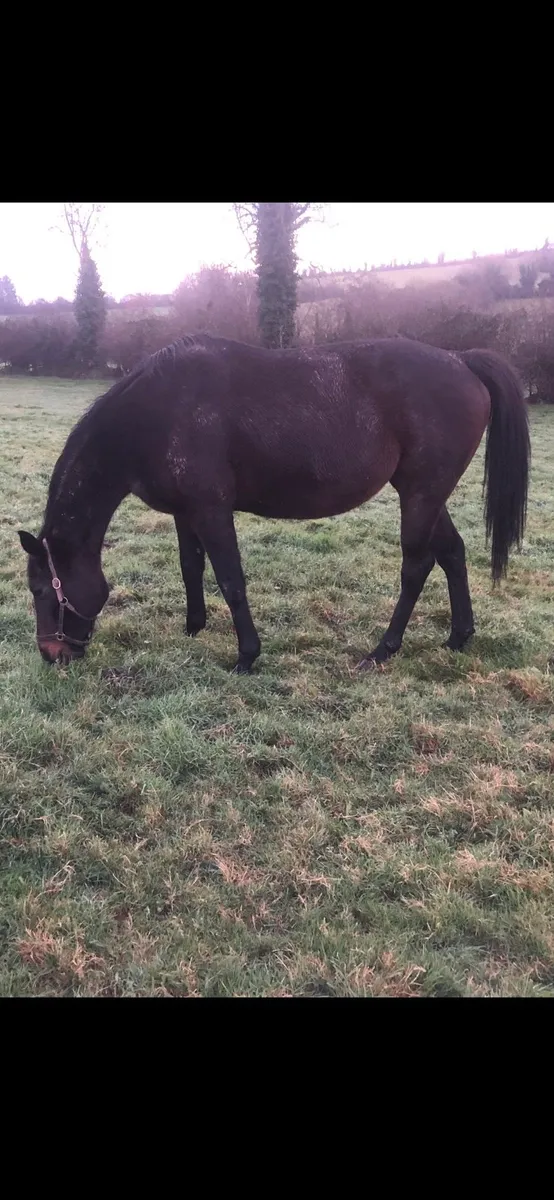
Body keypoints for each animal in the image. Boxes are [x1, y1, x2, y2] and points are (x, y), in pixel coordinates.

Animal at [18, 334, 530, 673]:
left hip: (421, 495)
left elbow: (231, 579)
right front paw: (194, 627)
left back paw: (383, 649)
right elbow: (191, 567)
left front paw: (247, 655)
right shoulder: (186, 512)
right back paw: (459, 636)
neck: (156, 413)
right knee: (453, 553)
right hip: (424, 493)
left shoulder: (212, 510)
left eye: (41, 590)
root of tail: (461, 360)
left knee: (417, 565)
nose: (51, 654)